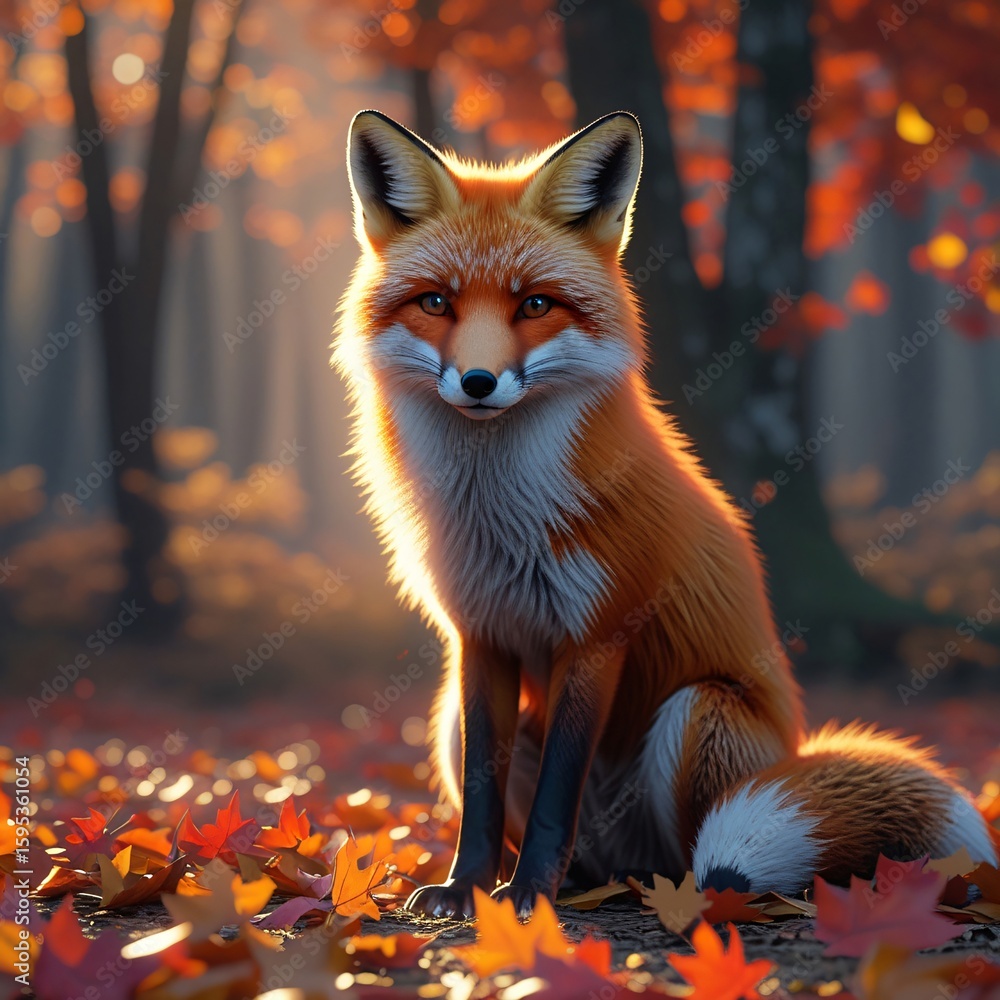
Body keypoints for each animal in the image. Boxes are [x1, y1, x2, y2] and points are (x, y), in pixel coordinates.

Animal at [334, 109, 998, 919]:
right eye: (437, 302)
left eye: (534, 304)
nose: (479, 381)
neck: (499, 521)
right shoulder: (479, 636)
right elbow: (485, 797)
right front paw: (471, 889)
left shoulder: (598, 633)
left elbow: (557, 791)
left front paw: (527, 896)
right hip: (449, 719)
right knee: (592, 853)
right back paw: (581, 885)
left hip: (697, 714)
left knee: (701, 859)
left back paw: (669, 893)